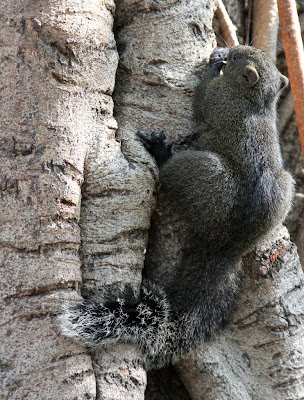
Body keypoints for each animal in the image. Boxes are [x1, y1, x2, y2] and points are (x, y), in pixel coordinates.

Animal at [59, 46, 294, 368]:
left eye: (237, 59)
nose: (228, 51)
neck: (257, 101)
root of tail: (226, 243)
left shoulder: (217, 98)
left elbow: (201, 97)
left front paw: (213, 64)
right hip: (286, 186)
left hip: (202, 171)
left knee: (173, 174)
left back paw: (161, 155)